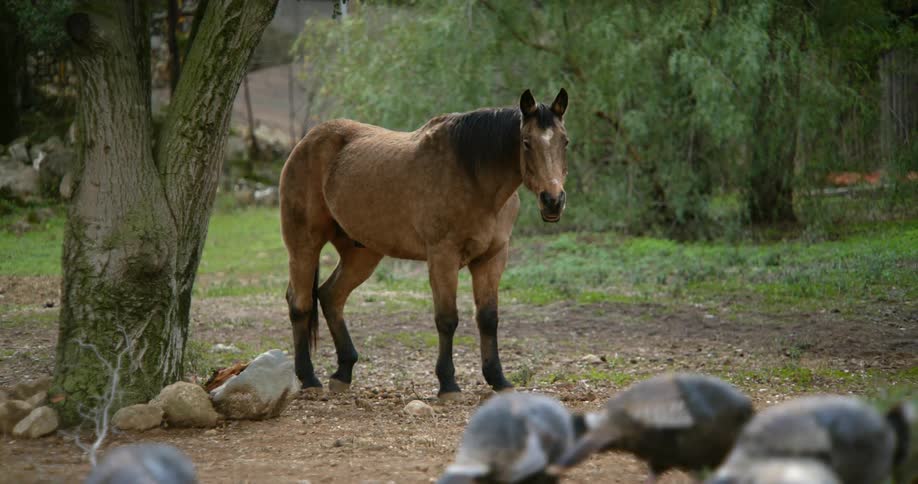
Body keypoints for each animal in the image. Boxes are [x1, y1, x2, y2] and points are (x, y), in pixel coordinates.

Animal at [279, 89, 570, 399]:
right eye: (526, 142)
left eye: (565, 141)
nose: (553, 201)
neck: (473, 176)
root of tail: (306, 141)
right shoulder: (443, 256)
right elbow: (447, 319)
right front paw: (448, 384)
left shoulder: (492, 258)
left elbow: (488, 318)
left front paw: (498, 380)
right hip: (304, 244)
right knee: (300, 304)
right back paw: (309, 377)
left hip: (362, 253)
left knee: (331, 296)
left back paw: (343, 372)